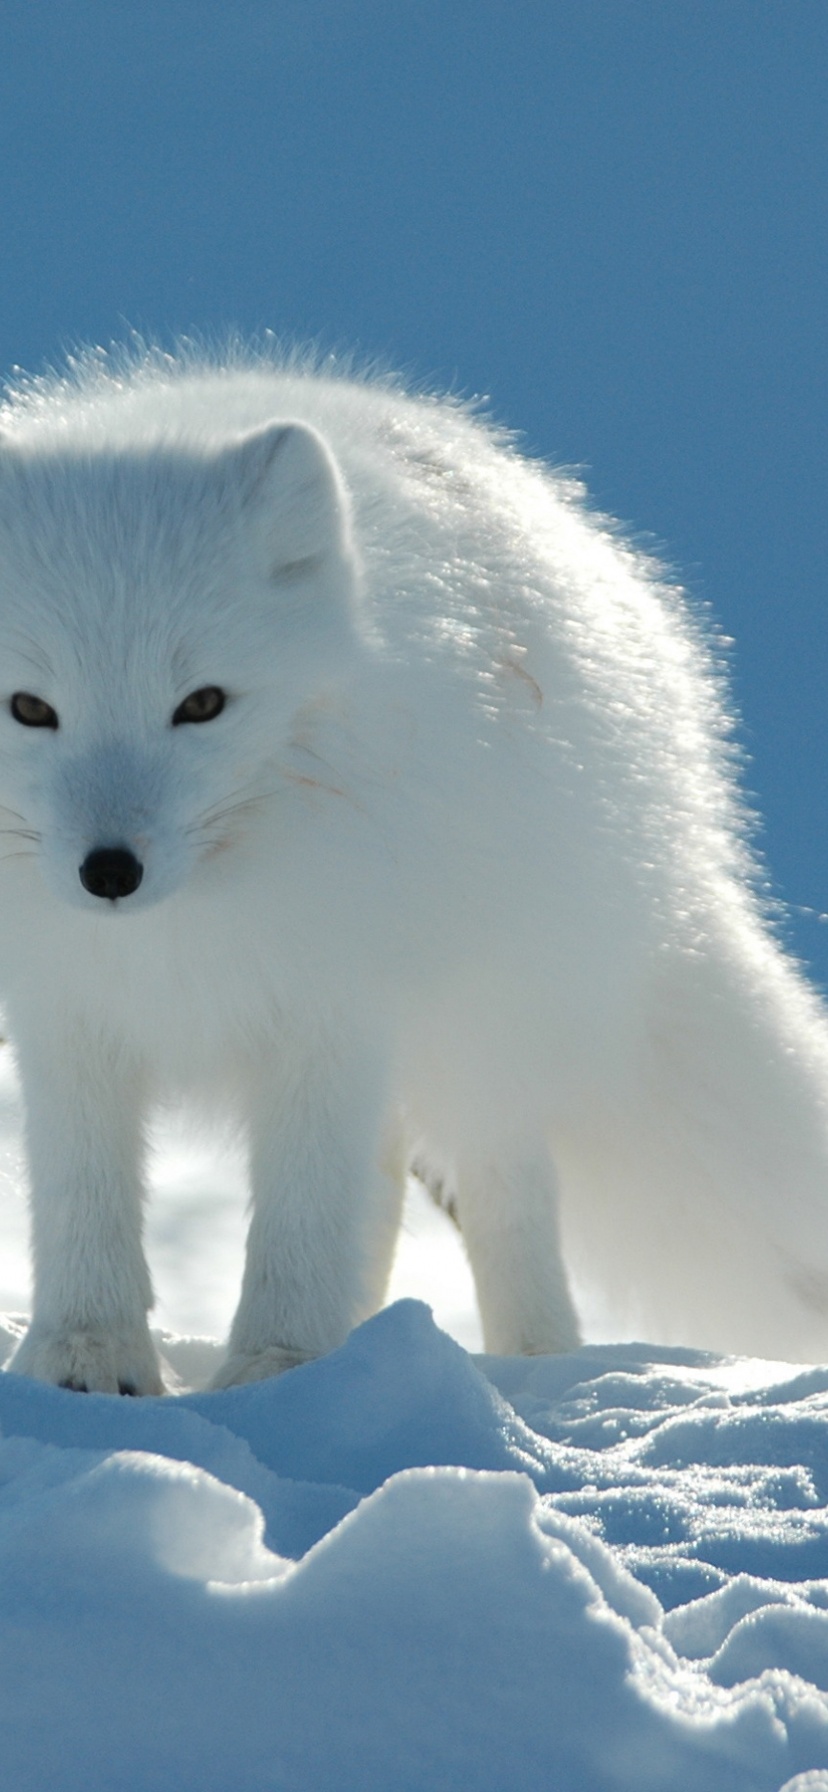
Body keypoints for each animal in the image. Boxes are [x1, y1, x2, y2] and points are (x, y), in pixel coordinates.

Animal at [0, 342, 824, 1390]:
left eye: (202, 704)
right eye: (30, 708)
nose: (108, 872)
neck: (188, 928)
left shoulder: (334, 1004)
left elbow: (305, 1212)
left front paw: (277, 1369)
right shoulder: (65, 1009)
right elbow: (82, 1197)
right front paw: (87, 1360)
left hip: (490, 1023)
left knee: (503, 1191)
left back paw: (534, 1365)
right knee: (387, 1186)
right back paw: (366, 1339)